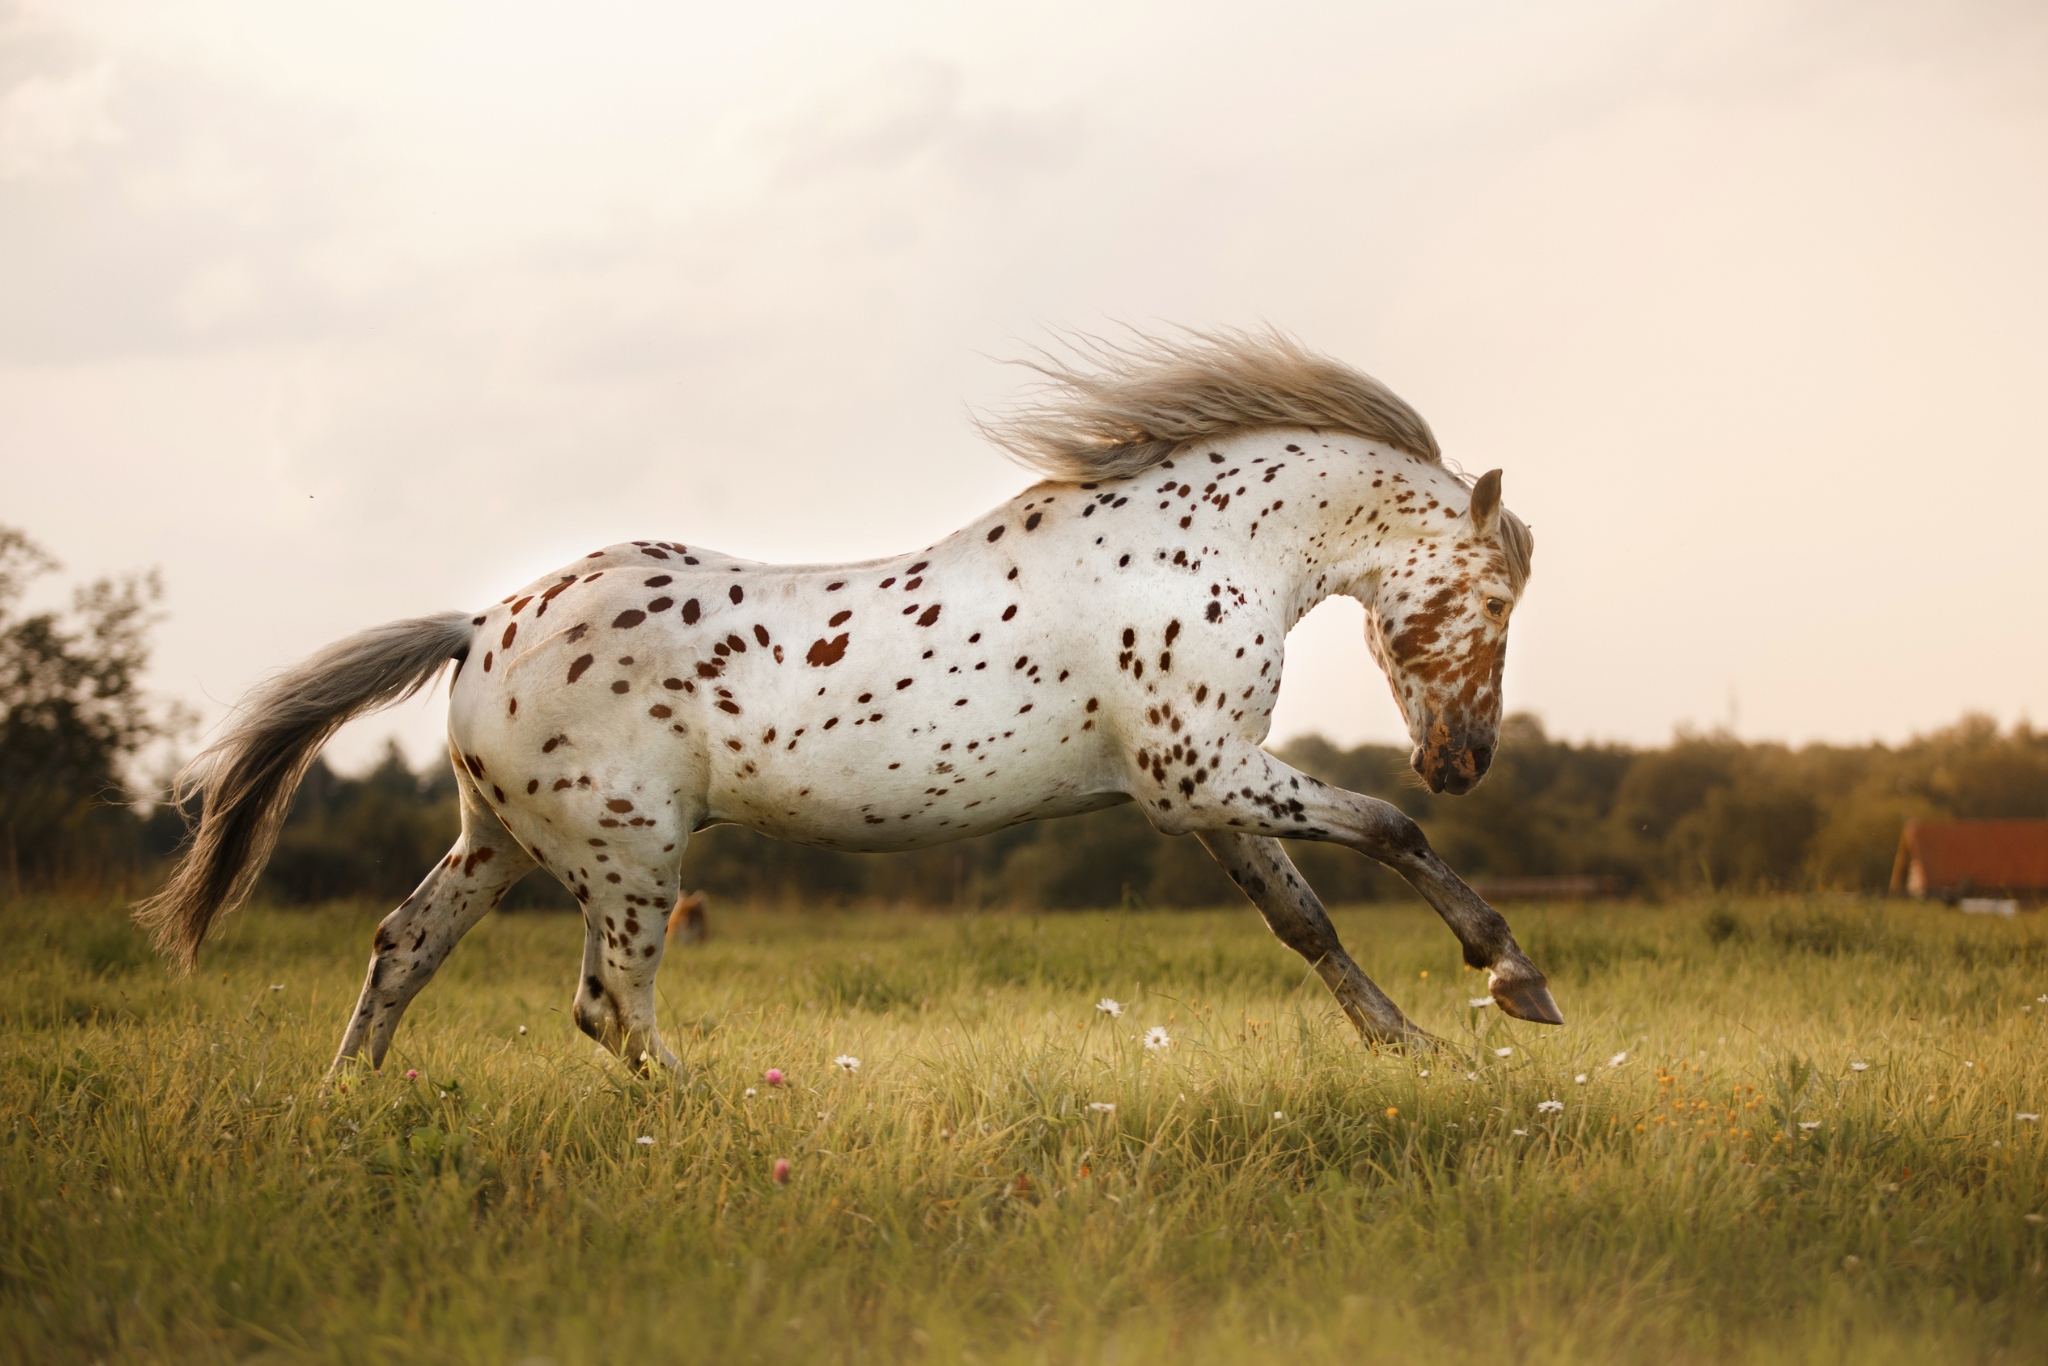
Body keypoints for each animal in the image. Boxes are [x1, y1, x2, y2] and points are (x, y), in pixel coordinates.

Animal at [136, 329, 1561, 1074]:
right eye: (1496, 598)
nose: (1466, 756)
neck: (1195, 547)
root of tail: (482, 627)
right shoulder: (1193, 776)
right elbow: (1384, 830)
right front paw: (1511, 979)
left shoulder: (1206, 788)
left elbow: (1305, 921)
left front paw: (1412, 1048)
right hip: (631, 861)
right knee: (608, 1007)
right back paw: (725, 1110)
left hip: (500, 845)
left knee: (403, 948)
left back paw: (346, 1104)